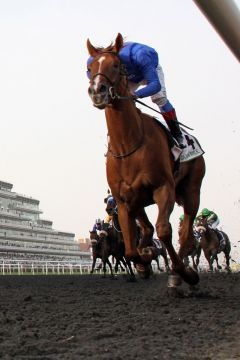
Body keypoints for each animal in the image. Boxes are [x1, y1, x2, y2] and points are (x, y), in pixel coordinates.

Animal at [86, 33, 204, 286]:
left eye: (116, 65)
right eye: (90, 68)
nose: (98, 91)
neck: (129, 145)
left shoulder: (163, 188)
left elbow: (164, 230)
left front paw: (181, 272)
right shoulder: (124, 200)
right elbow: (132, 249)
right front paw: (144, 259)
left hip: (191, 191)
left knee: (185, 233)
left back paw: (182, 273)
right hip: (140, 201)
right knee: (150, 230)